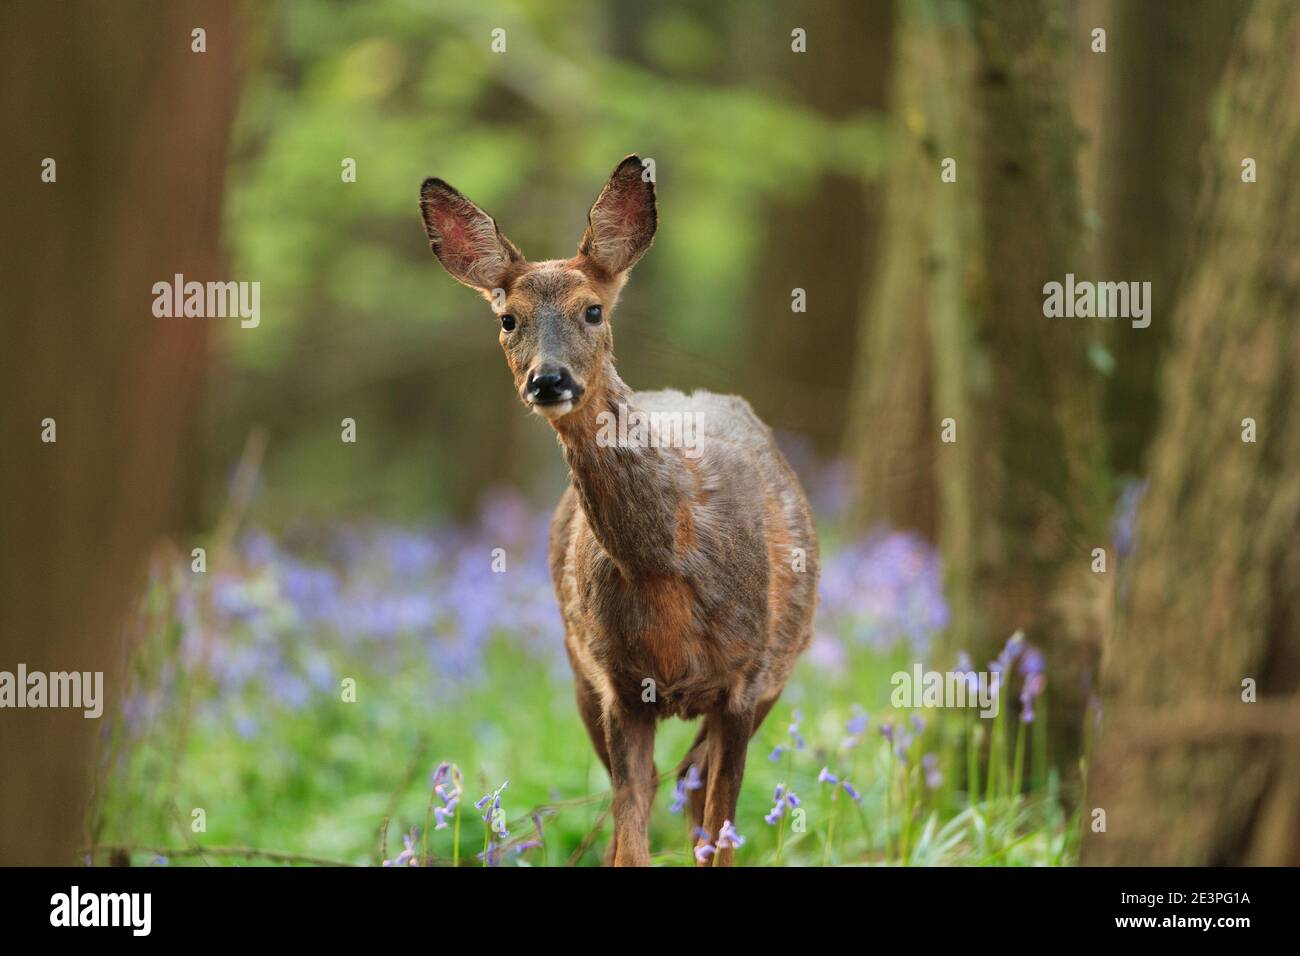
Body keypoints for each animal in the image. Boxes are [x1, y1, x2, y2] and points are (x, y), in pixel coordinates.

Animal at [419, 155, 819, 866]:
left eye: (593, 310)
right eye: (507, 319)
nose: (548, 380)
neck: (668, 559)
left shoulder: (747, 676)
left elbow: (721, 835)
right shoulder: (617, 684)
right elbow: (631, 842)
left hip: (779, 665)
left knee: (692, 785)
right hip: (578, 667)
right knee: (662, 787)